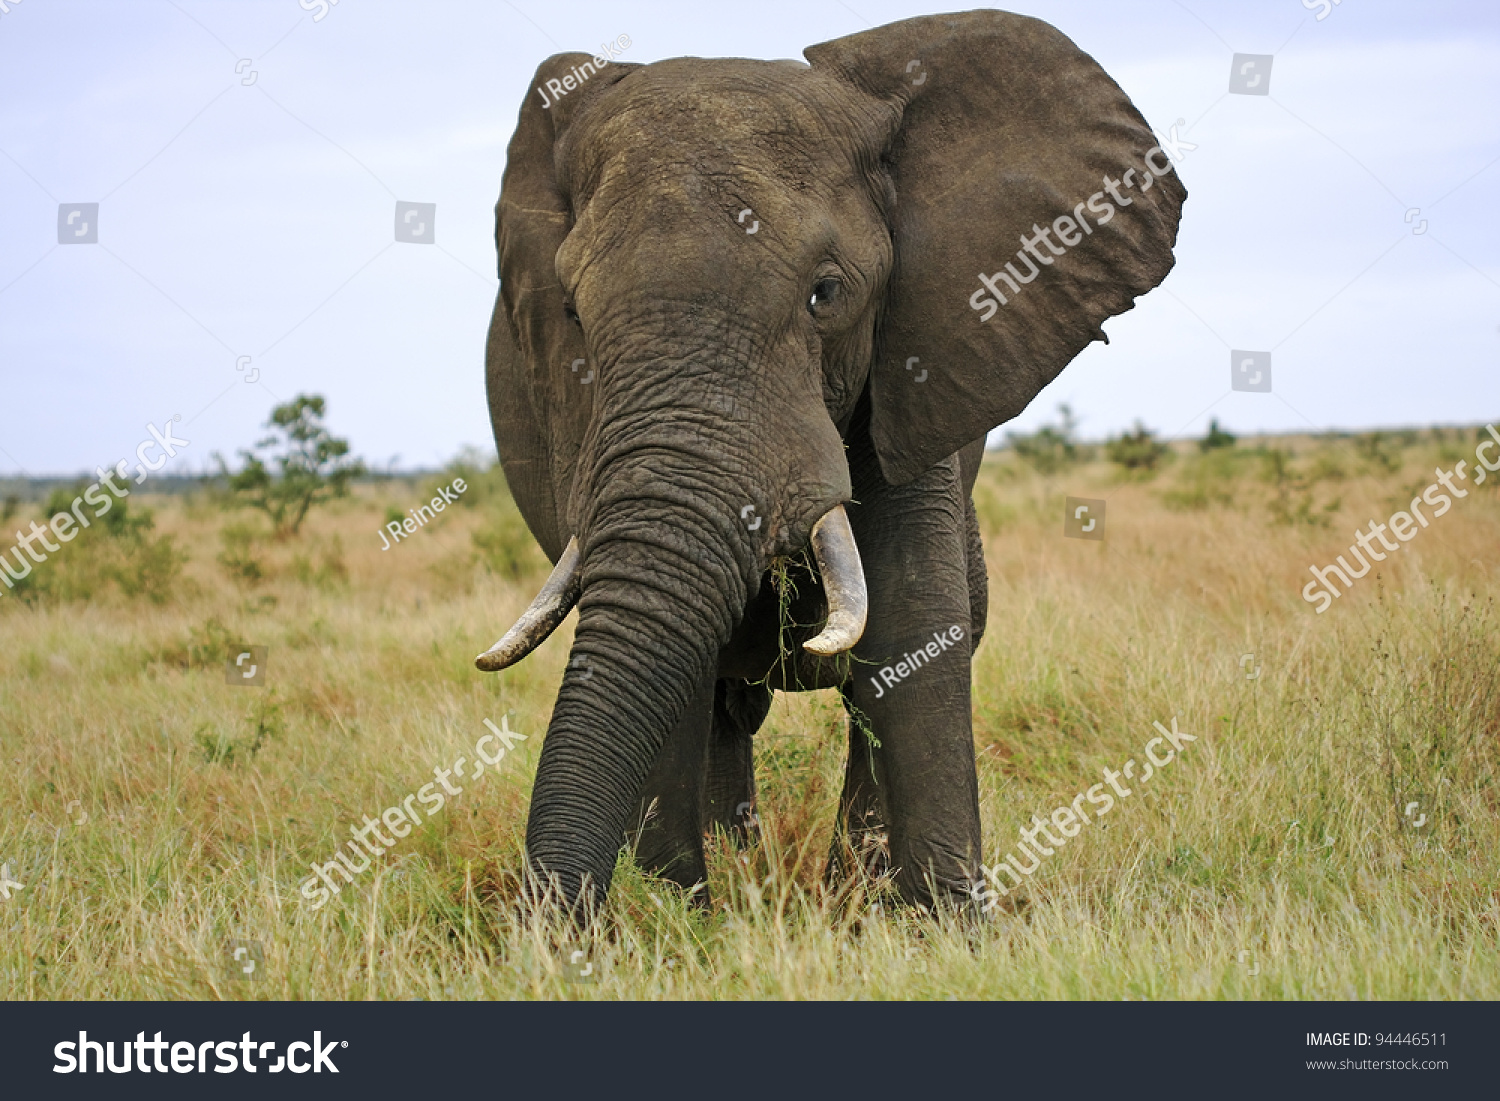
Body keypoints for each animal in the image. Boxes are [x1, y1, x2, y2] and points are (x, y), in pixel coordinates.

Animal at [477, 10, 1182, 924]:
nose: (549, 928)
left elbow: (917, 628)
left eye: (827, 294)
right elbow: (661, 656)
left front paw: (942, 927)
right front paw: (680, 924)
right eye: (570, 312)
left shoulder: (917, 358)